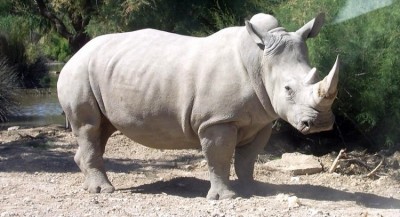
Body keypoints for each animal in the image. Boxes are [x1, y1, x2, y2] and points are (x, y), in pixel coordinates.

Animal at [57, 12, 340, 199]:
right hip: (78, 72)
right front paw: (225, 198)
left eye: (317, 75)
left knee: (101, 130)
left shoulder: (261, 121)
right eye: (288, 90)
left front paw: (253, 190)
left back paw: (90, 186)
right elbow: (219, 156)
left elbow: (247, 159)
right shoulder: (217, 119)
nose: (321, 123)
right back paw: (103, 191)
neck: (259, 61)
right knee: (89, 127)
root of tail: (74, 55)